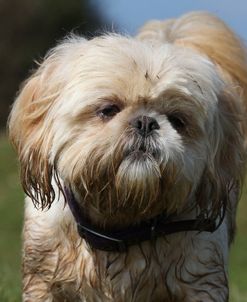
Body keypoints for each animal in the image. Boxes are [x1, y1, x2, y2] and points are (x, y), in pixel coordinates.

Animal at [8, 11, 247, 302]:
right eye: (108, 109)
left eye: (178, 120)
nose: (146, 122)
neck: (121, 223)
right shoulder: (42, 280)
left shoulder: (202, 280)